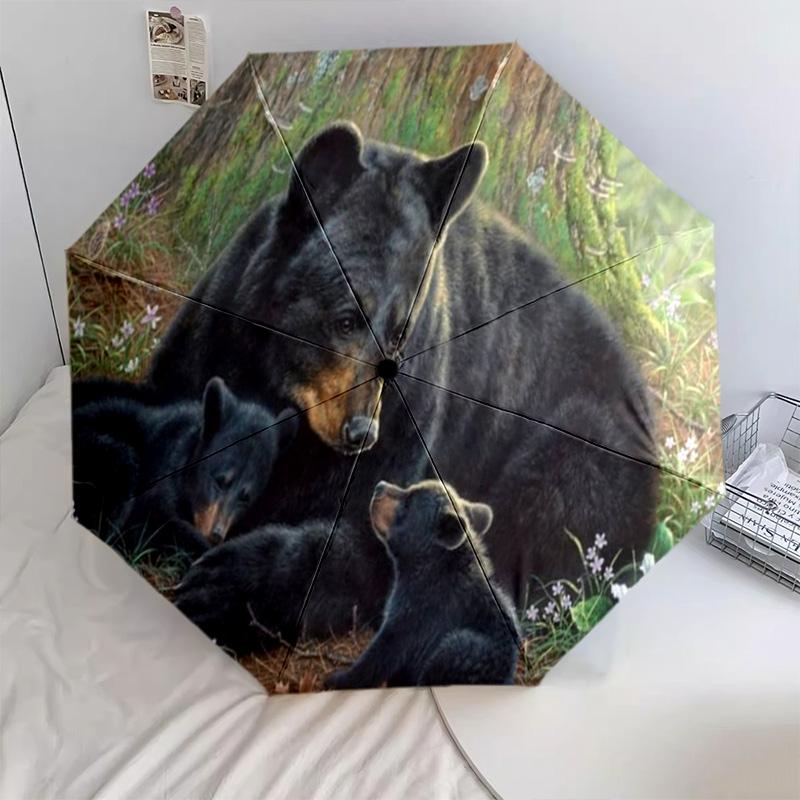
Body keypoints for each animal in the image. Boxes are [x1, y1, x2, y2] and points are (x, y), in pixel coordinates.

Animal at [144, 121, 658, 611]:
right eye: (346, 318)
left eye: (400, 335)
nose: (360, 432)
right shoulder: (215, 339)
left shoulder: (410, 419)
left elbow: (371, 540)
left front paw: (227, 579)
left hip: (585, 451)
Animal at [326, 479, 520, 689]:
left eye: (408, 502)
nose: (380, 486)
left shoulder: (419, 612)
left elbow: (386, 650)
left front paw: (339, 678)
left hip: (460, 650)